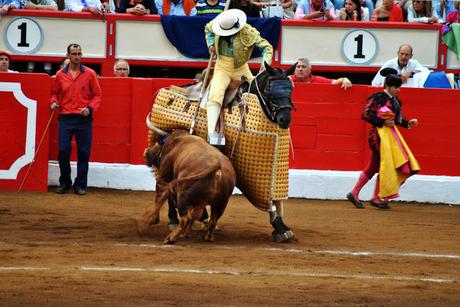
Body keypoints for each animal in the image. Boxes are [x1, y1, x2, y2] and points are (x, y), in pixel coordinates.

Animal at [147, 62, 298, 243]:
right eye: (269, 90)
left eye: (290, 88)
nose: (285, 119)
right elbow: (271, 202)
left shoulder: (271, 175)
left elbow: (276, 201)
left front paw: (281, 227)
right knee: (166, 183)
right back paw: (174, 219)